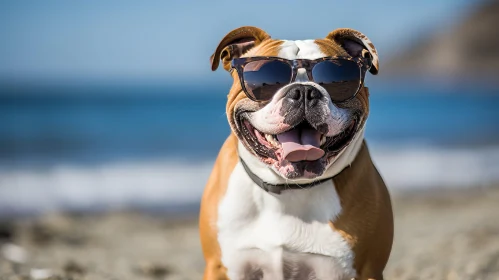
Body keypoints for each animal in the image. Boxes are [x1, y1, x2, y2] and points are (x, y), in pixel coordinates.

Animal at [199, 26, 394, 280]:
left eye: (336, 77)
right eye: (265, 77)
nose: (303, 91)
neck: (288, 189)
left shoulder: (367, 271)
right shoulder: (220, 267)